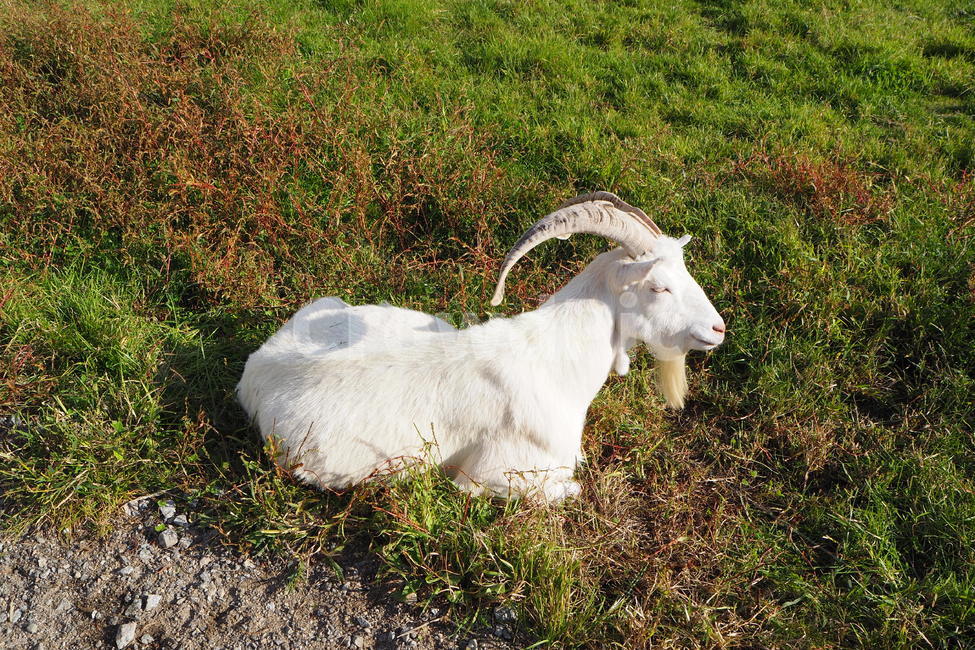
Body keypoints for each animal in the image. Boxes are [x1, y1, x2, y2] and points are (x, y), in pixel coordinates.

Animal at [237, 192, 726, 501]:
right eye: (659, 287)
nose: (718, 329)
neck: (553, 361)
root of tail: (254, 371)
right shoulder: (497, 475)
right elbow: (568, 489)